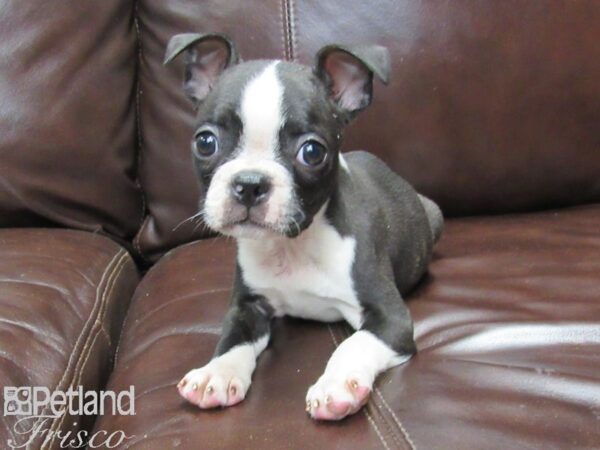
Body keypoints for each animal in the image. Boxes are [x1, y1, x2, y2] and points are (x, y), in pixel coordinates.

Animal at [166, 32, 442, 422]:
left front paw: (337, 385)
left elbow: (353, 344)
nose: (250, 183)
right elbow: (232, 338)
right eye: (205, 142)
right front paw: (216, 373)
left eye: (312, 152)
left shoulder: (392, 318)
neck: (291, 245)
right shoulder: (247, 305)